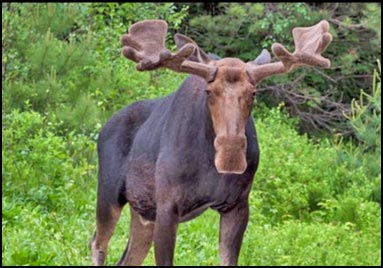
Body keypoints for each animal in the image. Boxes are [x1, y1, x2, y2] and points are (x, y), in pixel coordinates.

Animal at [90, 19, 332, 266]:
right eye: (209, 91)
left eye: (253, 93)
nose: (230, 154)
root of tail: (104, 128)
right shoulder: (168, 205)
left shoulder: (237, 205)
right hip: (110, 195)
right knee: (97, 243)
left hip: (143, 213)